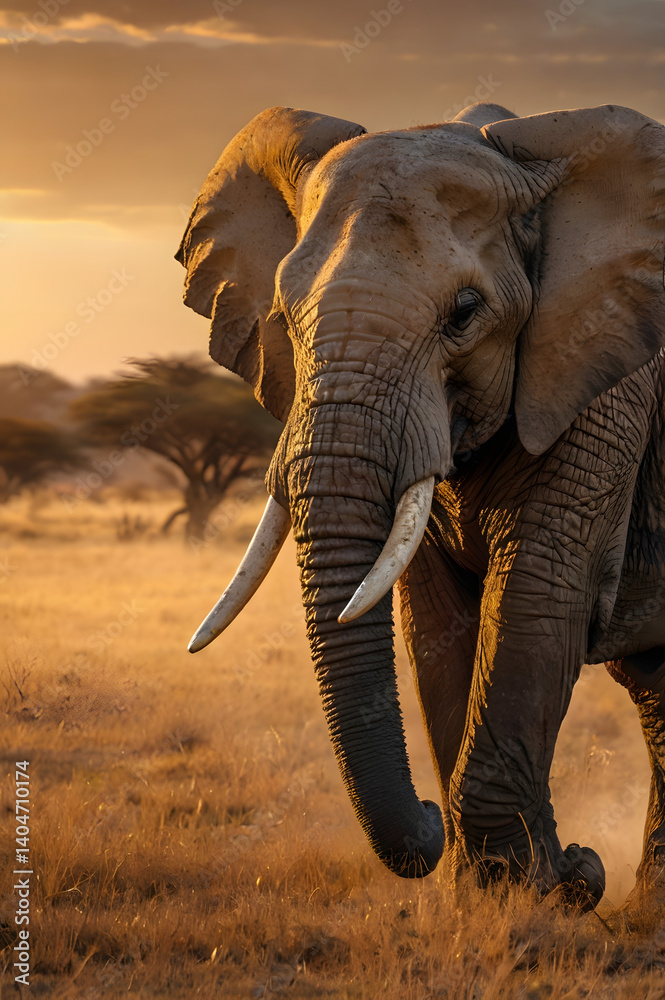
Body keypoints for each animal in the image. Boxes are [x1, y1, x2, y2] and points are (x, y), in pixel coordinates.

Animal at [176, 100, 665, 911]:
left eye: (464, 313)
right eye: (285, 312)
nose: (584, 868)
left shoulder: (601, 383)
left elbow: (536, 599)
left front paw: (526, 891)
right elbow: (438, 622)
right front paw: (495, 890)